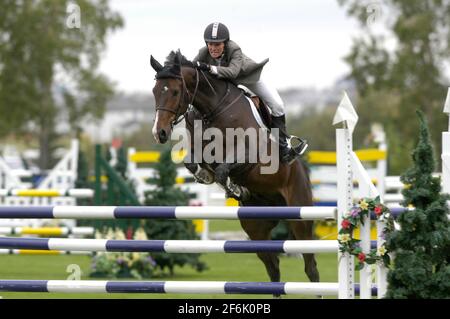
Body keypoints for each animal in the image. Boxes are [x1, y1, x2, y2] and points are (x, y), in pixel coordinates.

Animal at [149, 50, 318, 296]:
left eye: (175, 91)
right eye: (154, 91)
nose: (159, 133)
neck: (212, 109)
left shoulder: (250, 154)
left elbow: (223, 170)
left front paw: (235, 188)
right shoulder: (201, 149)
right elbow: (194, 163)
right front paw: (211, 178)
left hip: (300, 217)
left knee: (310, 267)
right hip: (255, 227)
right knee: (273, 267)